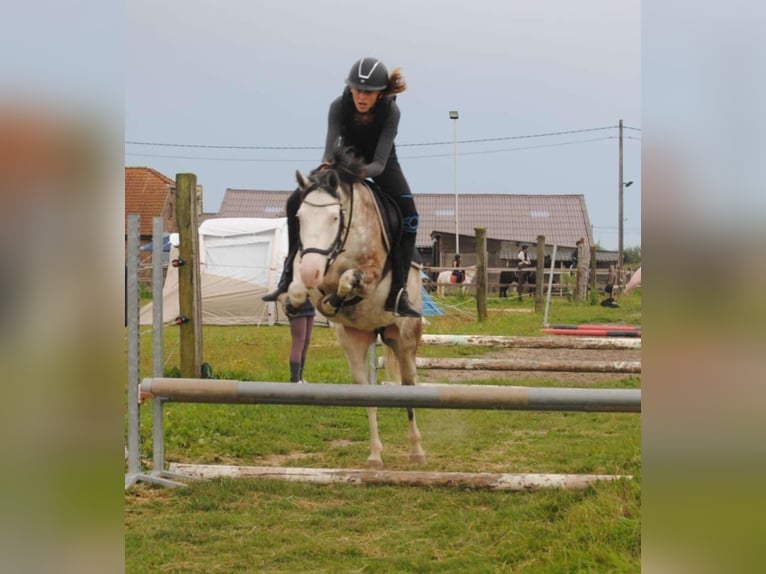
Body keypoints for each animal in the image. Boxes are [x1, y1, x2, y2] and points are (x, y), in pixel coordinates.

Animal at [286, 154, 426, 472]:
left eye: (334, 218)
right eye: (299, 218)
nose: (312, 271)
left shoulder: (370, 275)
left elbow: (349, 280)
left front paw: (338, 298)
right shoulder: (308, 267)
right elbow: (299, 288)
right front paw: (306, 298)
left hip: (406, 338)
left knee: (409, 384)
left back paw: (417, 450)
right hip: (356, 343)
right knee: (367, 392)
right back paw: (374, 455)